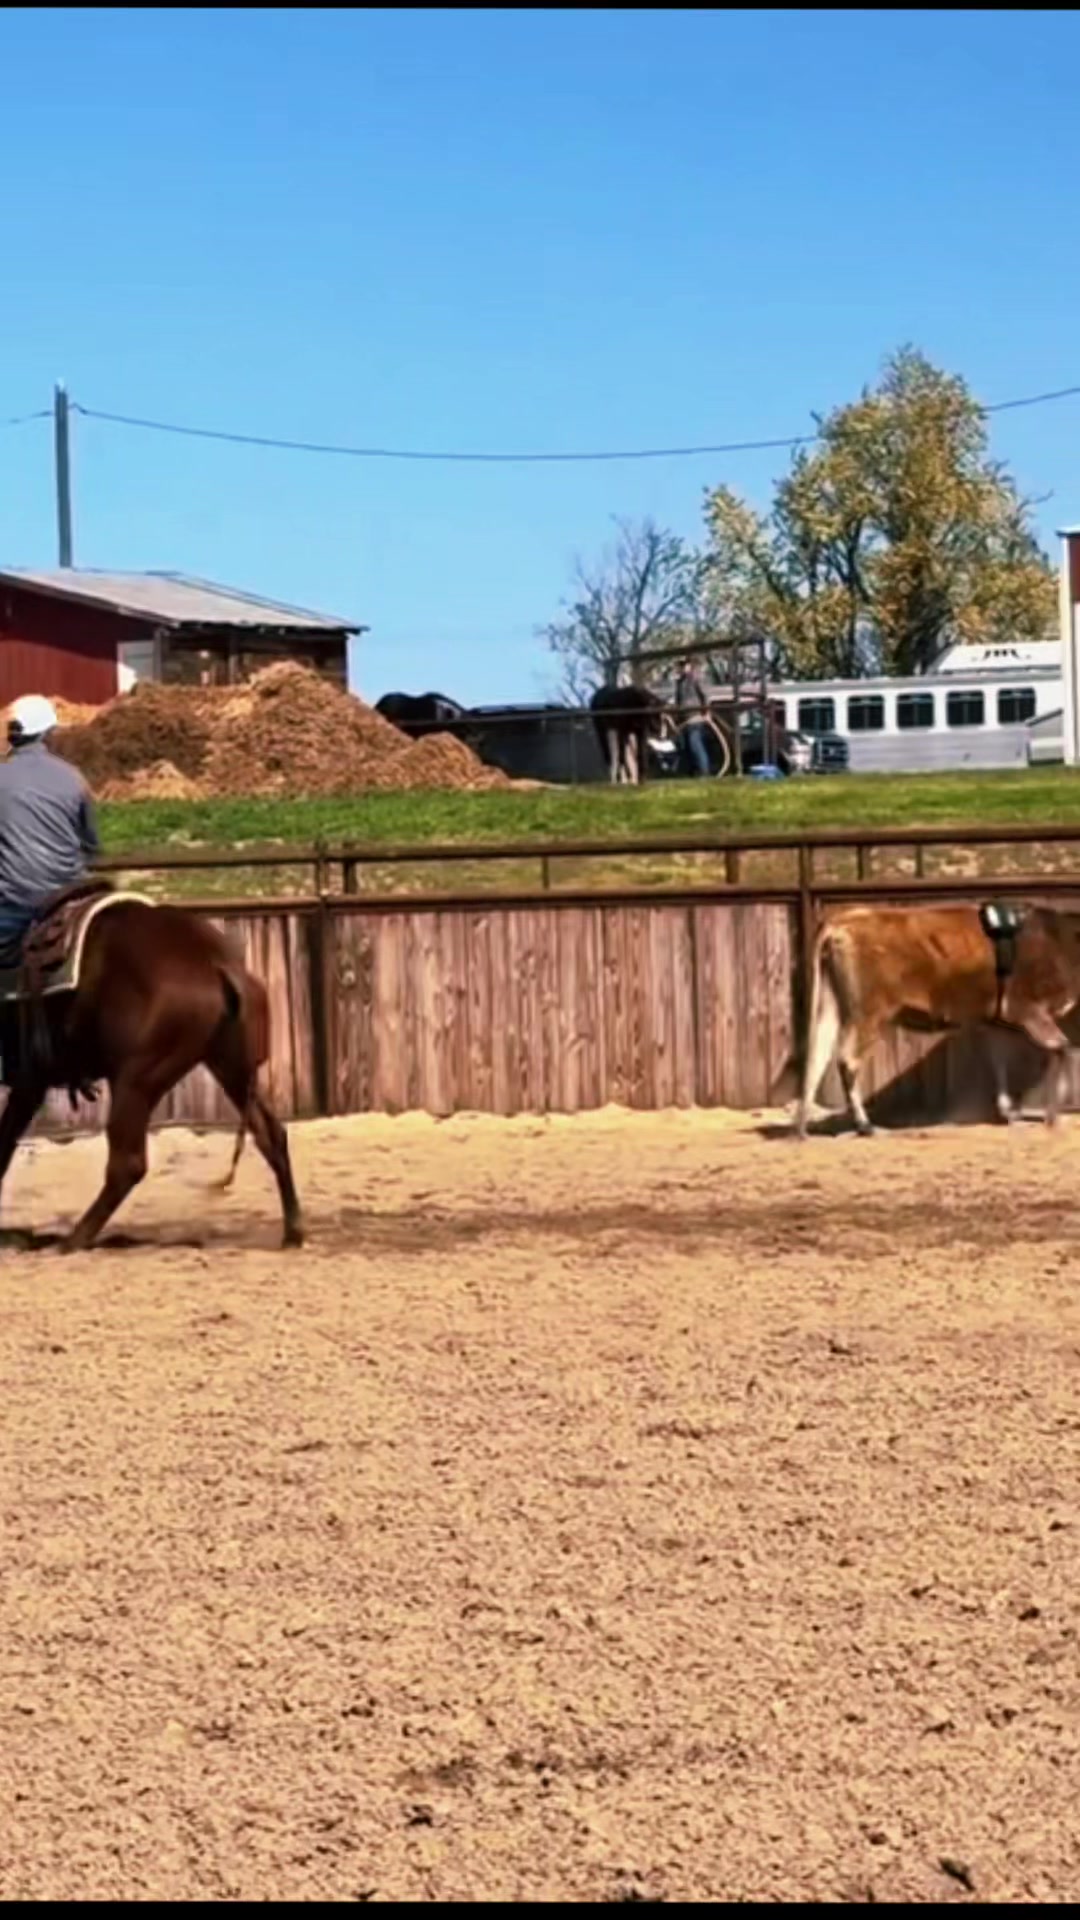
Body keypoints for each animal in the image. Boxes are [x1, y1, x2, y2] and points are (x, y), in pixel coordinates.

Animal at [0, 881, 303, 1254]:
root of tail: (216, 962)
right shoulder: (30, 1082)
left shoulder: (29, 1081)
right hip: (232, 1067)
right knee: (271, 1134)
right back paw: (293, 1231)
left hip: (136, 1079)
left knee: (127, 1164)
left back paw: (74, 1240)